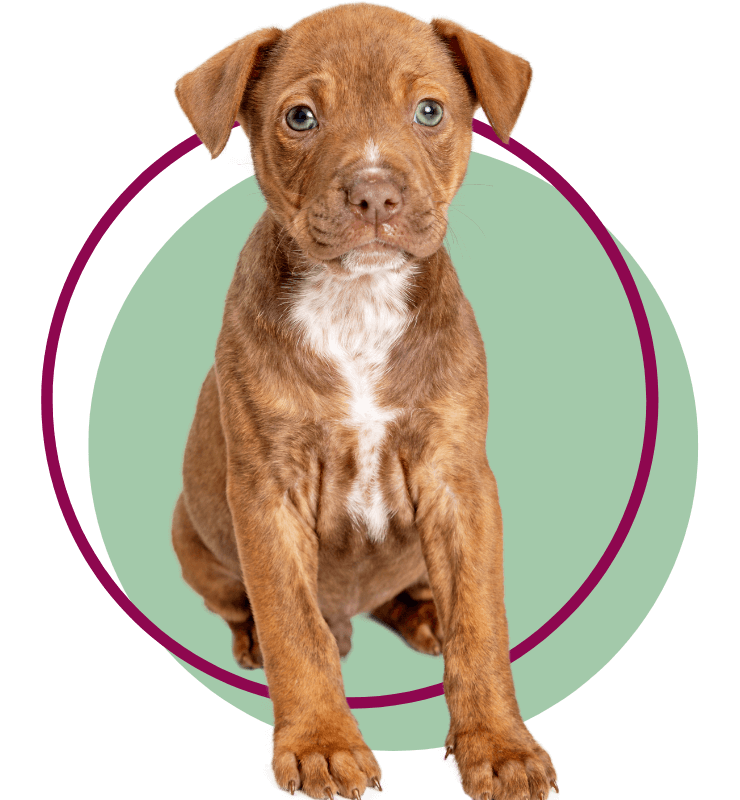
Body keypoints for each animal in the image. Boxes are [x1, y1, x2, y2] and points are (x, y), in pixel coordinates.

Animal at [172, 3, 556, 796]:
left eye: (430, 111)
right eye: (301, 118)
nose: (375, 194)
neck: (356, 299)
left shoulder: (458, 480)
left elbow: (481, 624)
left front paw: (498, 745)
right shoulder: (267, 491)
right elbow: (295, 626)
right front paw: (320, 743)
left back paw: (423, 613)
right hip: (192, 535)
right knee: (261, 608)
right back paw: (258, 637)